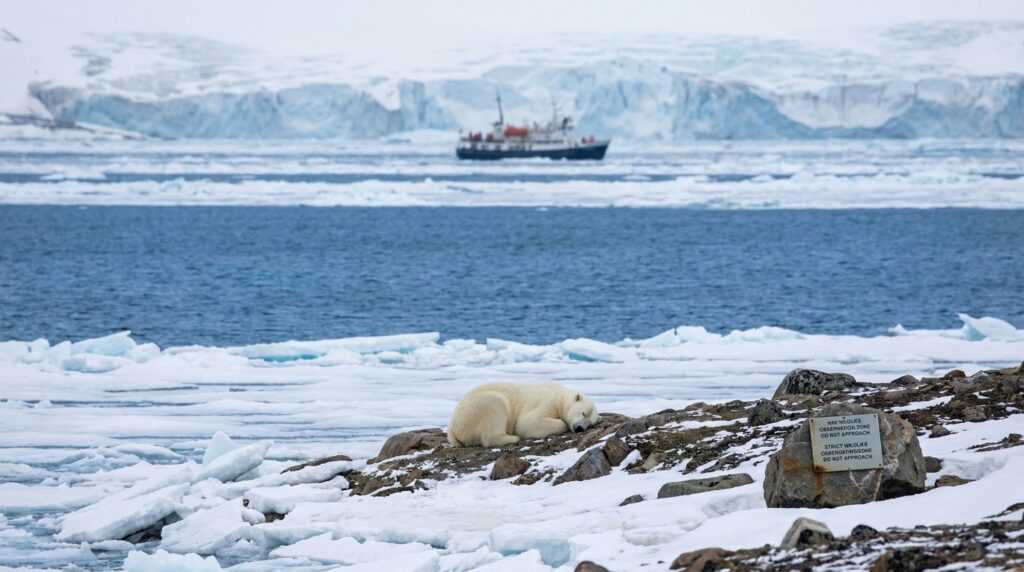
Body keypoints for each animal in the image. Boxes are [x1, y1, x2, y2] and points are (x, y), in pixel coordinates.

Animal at [447, 382, 599, 447]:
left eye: (590, 424)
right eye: (583, 413)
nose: (580, 428)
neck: (559, 395)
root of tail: (453, 431)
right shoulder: (544, 401)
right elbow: (527, 423)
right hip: (475, 410)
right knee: (495, 405)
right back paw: (512, 438)